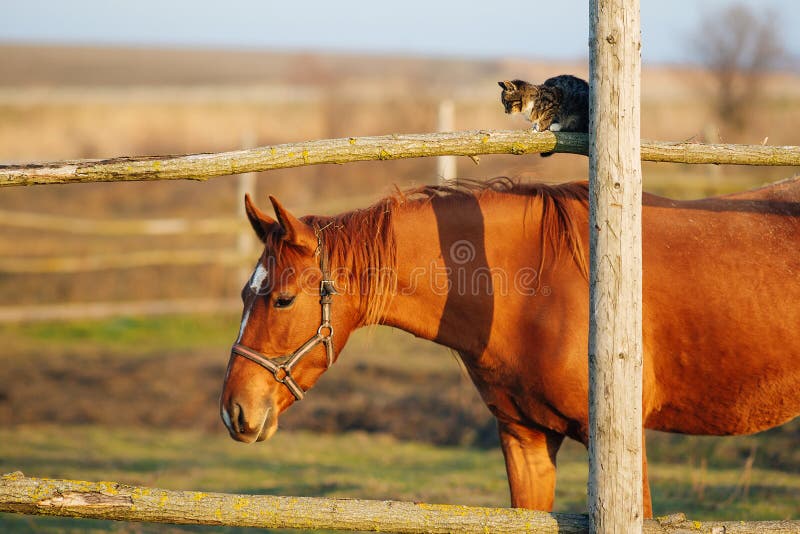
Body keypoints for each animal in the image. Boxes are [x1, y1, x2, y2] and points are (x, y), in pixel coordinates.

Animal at [220, 177, 800, 517]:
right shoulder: (526, 440)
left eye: (283, 300)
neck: (537, 287)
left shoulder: (620, 445)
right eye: (245, 294)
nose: (235, 411)